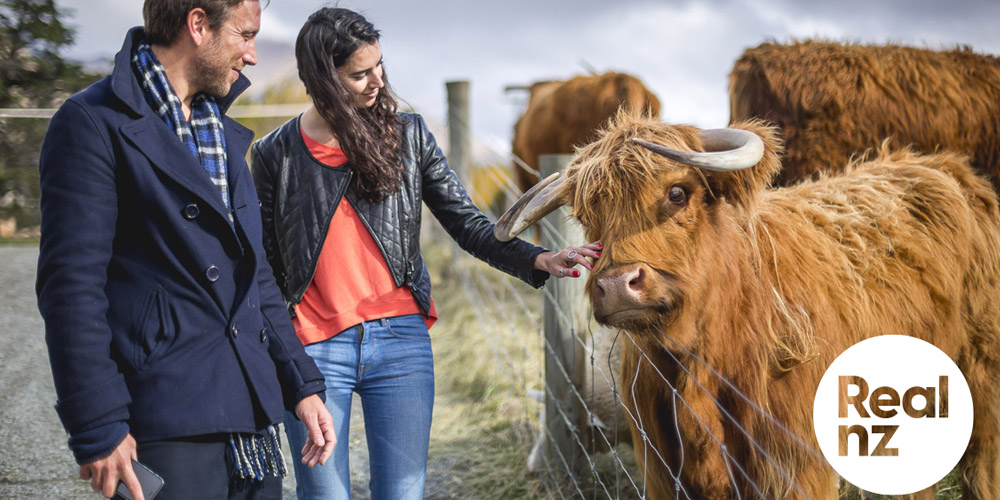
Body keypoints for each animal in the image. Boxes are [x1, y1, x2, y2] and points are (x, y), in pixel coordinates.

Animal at [500, 111, 1000, 498]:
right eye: (587, 215)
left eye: (678, 193)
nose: (618, 285)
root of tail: (941, 164)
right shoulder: (664, 473)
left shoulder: (797, 470)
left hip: (981, 370)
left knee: (980, 465)